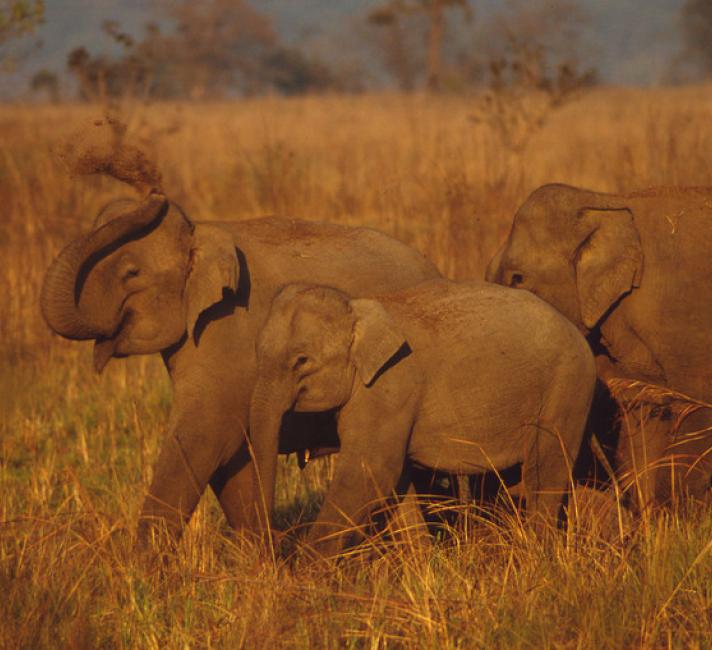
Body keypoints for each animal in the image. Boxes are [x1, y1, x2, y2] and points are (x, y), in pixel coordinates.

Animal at [41, 191, 440, 540]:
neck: (199, 233)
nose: (156, 194)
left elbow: (204, 436)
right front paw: (260, 562)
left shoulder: (226, 333)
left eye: (132, 273)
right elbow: (227, 456)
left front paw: (142, 569)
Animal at [249, 278, 596, 552]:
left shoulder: (390, 391)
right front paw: (424, 562)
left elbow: (368, 471)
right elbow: (394, 480)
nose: (275, 551)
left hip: (567, 388)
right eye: (259, 352)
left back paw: (537, 552)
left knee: (545, 470)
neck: (357, 307)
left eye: (302, 361)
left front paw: (307, 575)